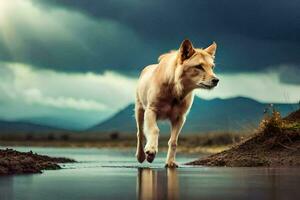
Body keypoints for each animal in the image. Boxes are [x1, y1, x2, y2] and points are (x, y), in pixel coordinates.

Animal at [135, 39, 218, 167]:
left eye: (212, 67)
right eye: (199, 66)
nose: (216, 80)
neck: (175, 90)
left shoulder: (180, 117)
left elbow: (173, 141)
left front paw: (170, 162)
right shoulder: (151, 110)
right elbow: (154, 130)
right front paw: (151, 150)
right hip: (139, 110)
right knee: (140, 133)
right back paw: (141, 156)